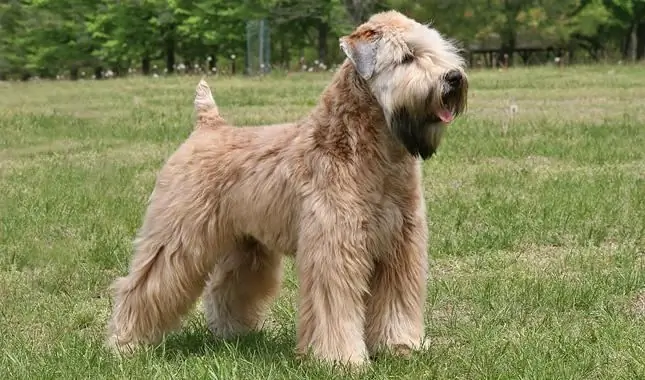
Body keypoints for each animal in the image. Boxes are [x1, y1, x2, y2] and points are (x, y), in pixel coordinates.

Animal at [107, 10, 468, 366]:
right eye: (407, 57)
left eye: (440, 50)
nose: (453, 77)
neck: (370, 150)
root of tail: (207, 127)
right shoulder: (334, 246)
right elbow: (334, 306)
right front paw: (341, 359)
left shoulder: (400, 247)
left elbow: (397, 302)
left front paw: (400, 346)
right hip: (176, 237)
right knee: (142, 286)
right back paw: (125, 343)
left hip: (245, 244)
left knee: (226, 287)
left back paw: (232, 332)